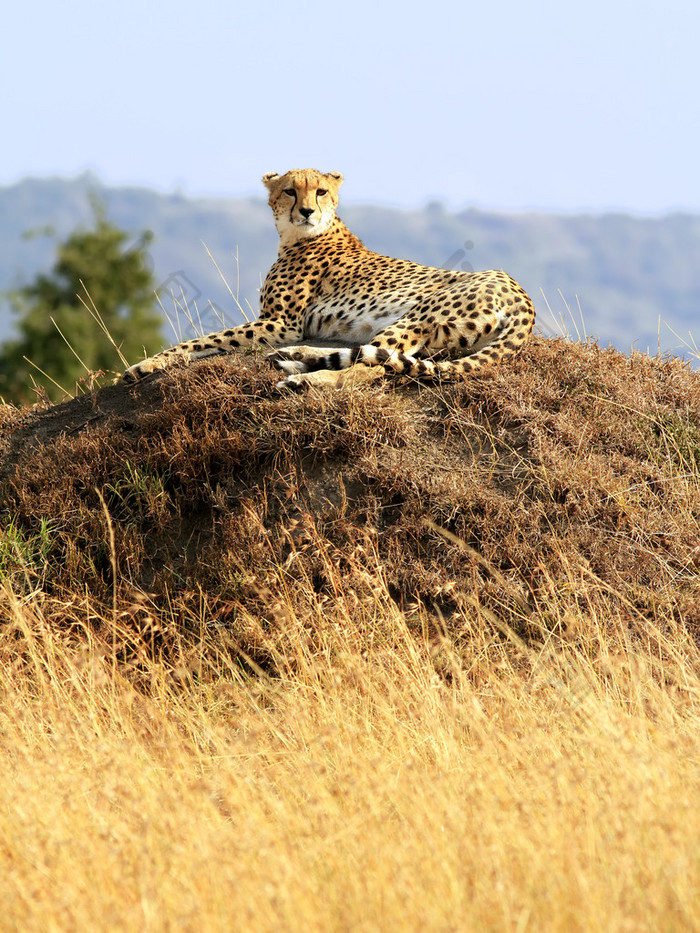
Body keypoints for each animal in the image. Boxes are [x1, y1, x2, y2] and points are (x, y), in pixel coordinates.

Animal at [123, 168, 532, 386]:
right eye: (290, 191)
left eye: (320, 191)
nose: (306, 211)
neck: (299, 235)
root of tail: (520, 293)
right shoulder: (277, 323)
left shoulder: (279, 323)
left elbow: (201, 340)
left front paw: (142, 366)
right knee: (373, 359)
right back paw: (296, 361)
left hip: (418, 316)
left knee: (368, 369)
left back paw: (301, 377)